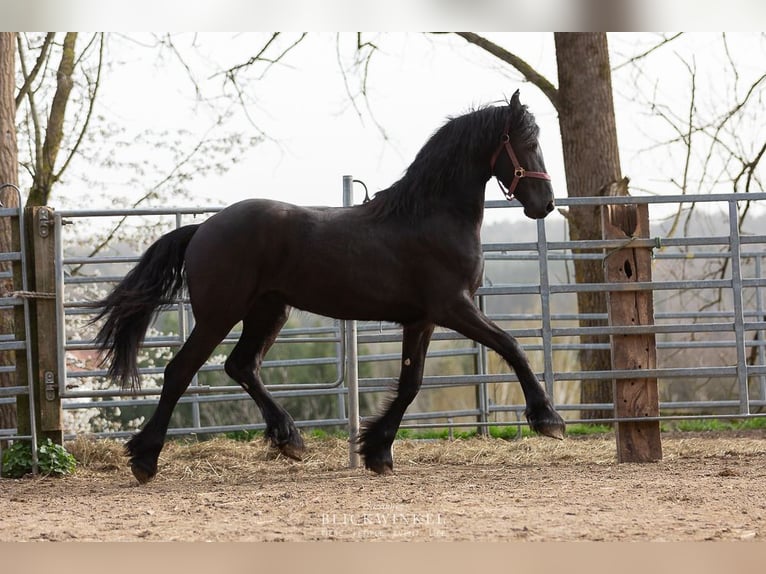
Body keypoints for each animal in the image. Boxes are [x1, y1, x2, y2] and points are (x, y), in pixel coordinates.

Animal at [91, 90, 565, 484]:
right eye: (526, 141)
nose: (545, 205)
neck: (429, 217)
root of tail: (203, 228)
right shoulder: (454, 307)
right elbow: (513, 346)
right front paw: (548, 420)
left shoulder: (422, 320)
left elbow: (411, 384)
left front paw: (377, 451)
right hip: (220, 313)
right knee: (180, 371)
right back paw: (145, 460)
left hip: (268, 311)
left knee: (241, 366)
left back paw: (289, 440)